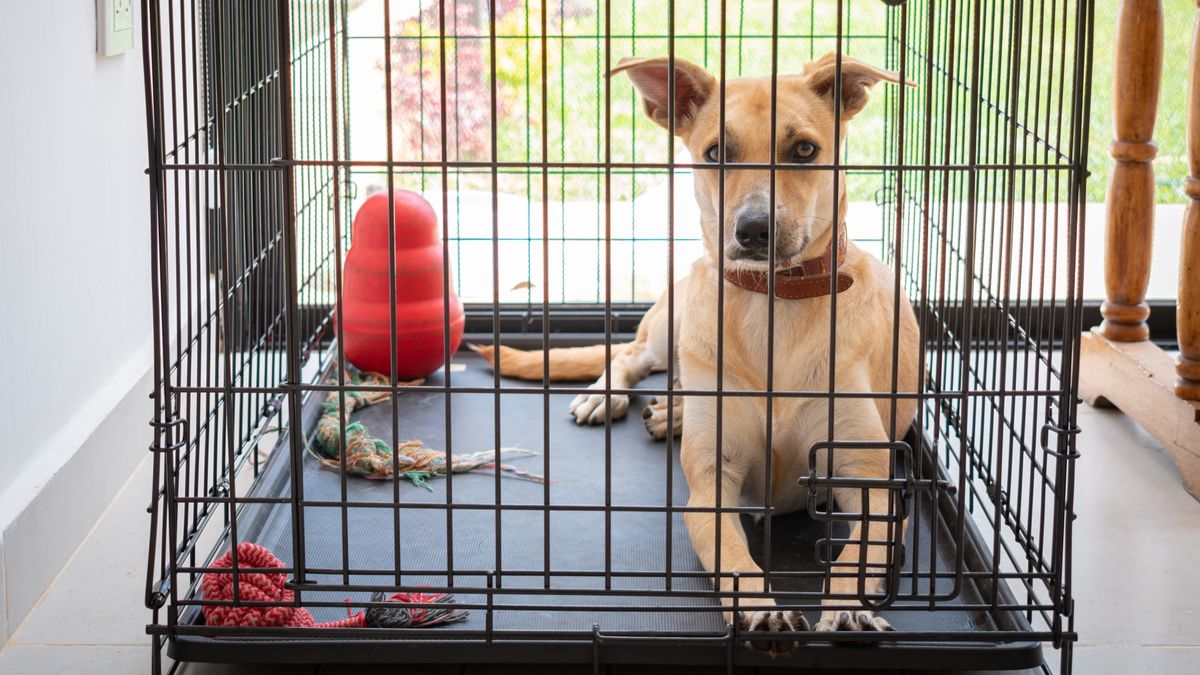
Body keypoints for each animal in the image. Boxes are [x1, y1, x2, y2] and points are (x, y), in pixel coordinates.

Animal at [477, 53, 916, 653]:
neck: (772, 303)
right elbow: (733, 557)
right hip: (678, 312)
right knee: (634, 354)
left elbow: (857, 553)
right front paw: (760, 611)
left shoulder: (870, 483)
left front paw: (847, 609)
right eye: (715, 153)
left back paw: (674, 412)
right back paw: (612, 397)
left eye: (804, 149)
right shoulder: (712, 487)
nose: (753, 230)